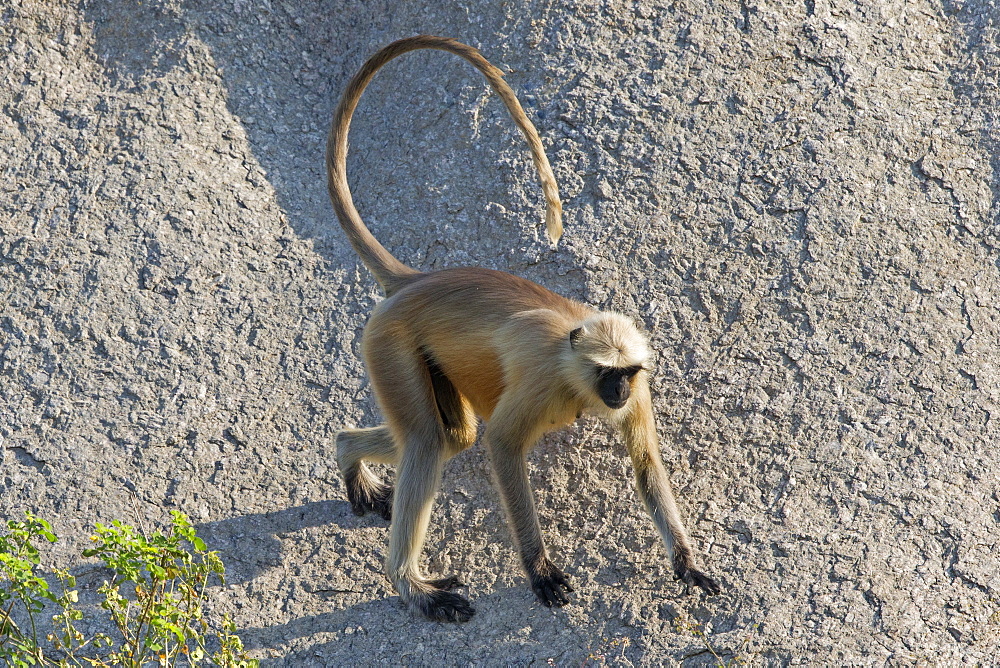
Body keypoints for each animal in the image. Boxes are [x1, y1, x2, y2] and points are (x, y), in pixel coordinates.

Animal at [332, 35, 724, 620]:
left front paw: (686, 559)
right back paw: (410, 584)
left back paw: (347, 453)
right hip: (388, 340)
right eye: (607, 372)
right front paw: (538, 569)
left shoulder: (640, 392)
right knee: (430, 439)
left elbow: (646, 468)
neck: (574, 365)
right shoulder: (543, 377)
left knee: (452, 435)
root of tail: (419, 280)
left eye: (627, 373)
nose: (617, 390)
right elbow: (500, 443)